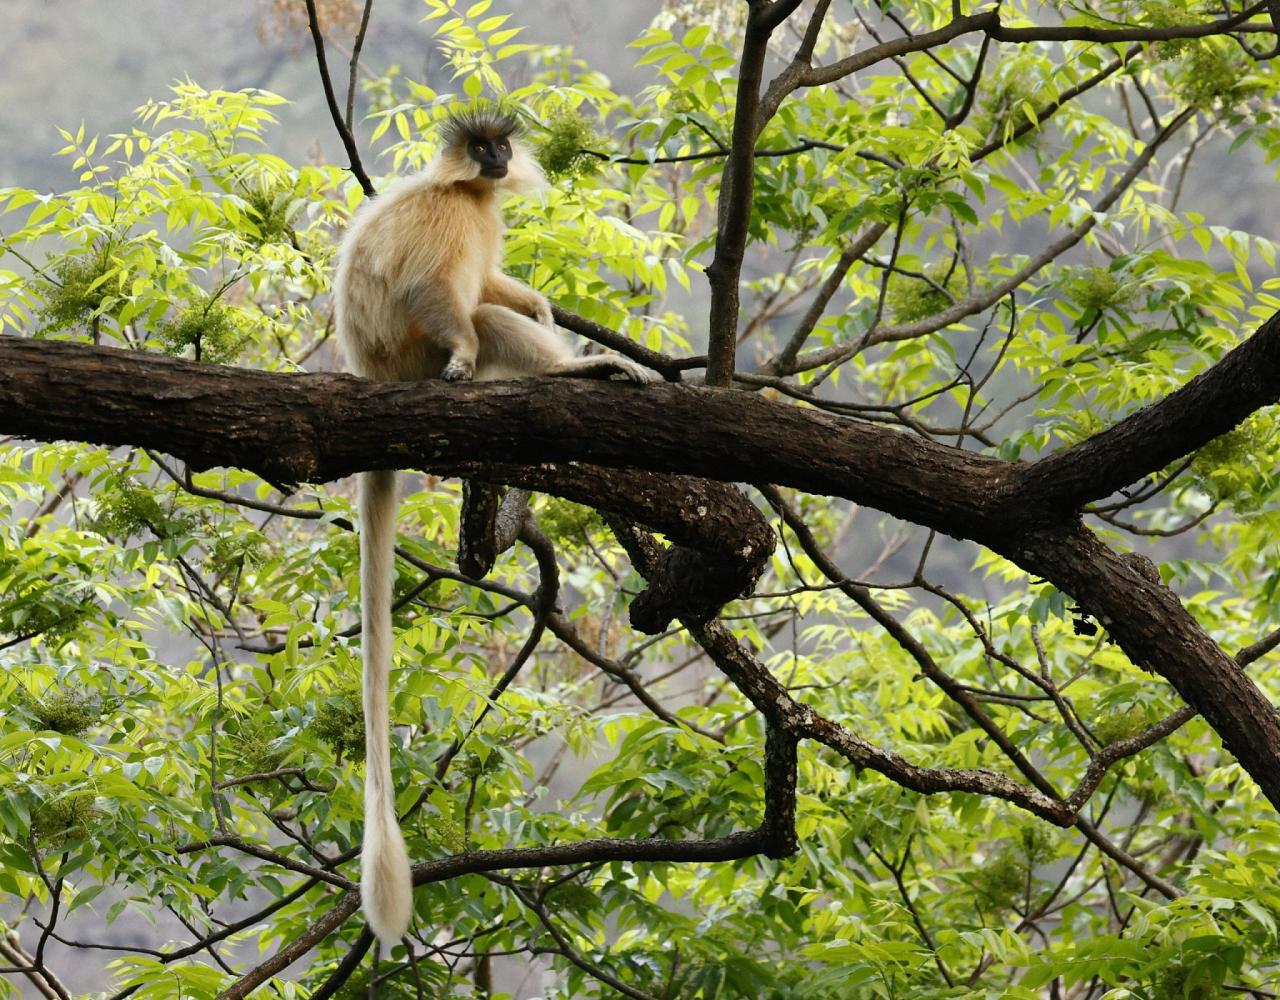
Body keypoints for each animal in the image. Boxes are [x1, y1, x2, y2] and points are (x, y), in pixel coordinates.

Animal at [335, 105, 655, 947]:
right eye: (482, 148)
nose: (499, 158)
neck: (469, 193)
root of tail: (370, 374)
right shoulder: (448, 219)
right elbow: (437, 289)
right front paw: (479, 349)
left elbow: (499, 289)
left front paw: (540, 303)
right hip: (410, 357)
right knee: (472, 312)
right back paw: (574, 370)